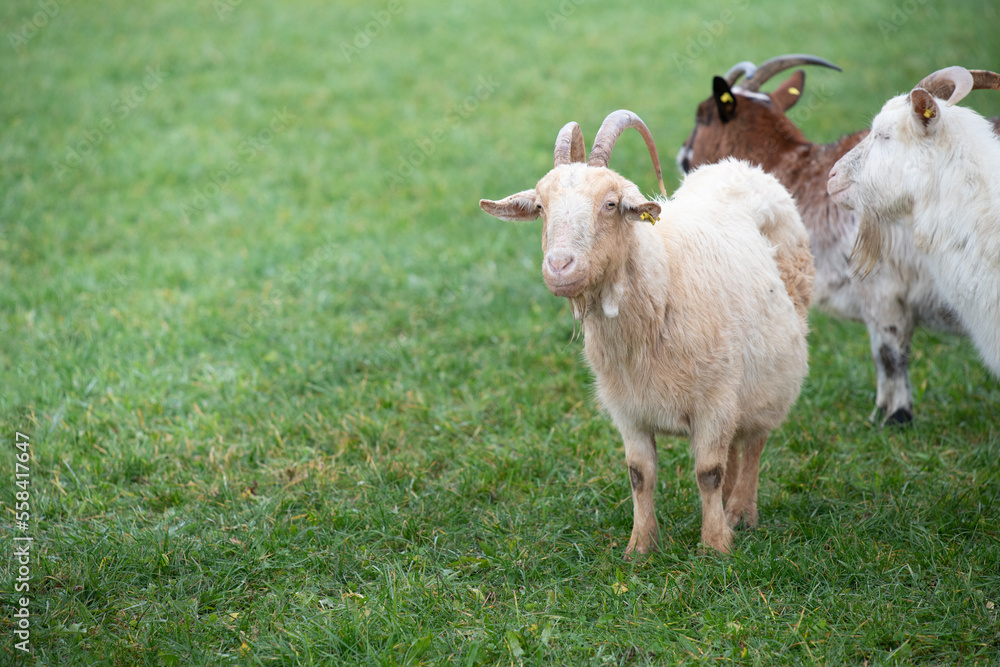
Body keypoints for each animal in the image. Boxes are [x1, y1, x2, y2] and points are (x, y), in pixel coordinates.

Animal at [479, 110, 813, 554]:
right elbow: (640, 474)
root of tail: (740, 167)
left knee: (753, 443)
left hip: (770, 380)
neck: (664, 283)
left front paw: (715, 545)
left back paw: (741, 510)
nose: (560, 267)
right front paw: (640, 547)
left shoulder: (716, 400)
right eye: (540, 206)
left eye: (610, 204)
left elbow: (707, 471)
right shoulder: (628, 408)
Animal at [678, 54, 979, 426]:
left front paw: (895, 417)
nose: (682, 155)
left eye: (701, 116)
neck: (798, 174)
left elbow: (889, 353)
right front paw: (880, 414)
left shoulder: (882, 288)